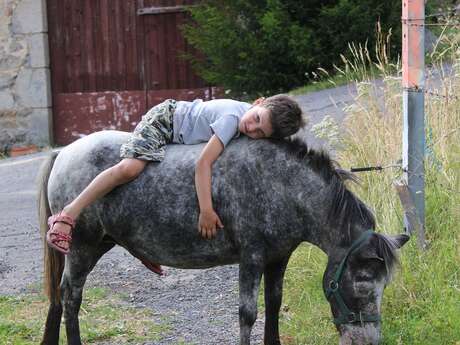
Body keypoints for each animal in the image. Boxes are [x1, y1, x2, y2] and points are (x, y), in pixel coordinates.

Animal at [37, 130, 408, 342]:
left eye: (384, 285)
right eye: (362, 283)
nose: (369, 341)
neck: (281, 184)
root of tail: (64, 152)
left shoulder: (278, 258)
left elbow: (273, 306)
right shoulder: (252, 257)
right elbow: (248, 314)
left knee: (59, 299)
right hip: (82, 249)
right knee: (71, 298)